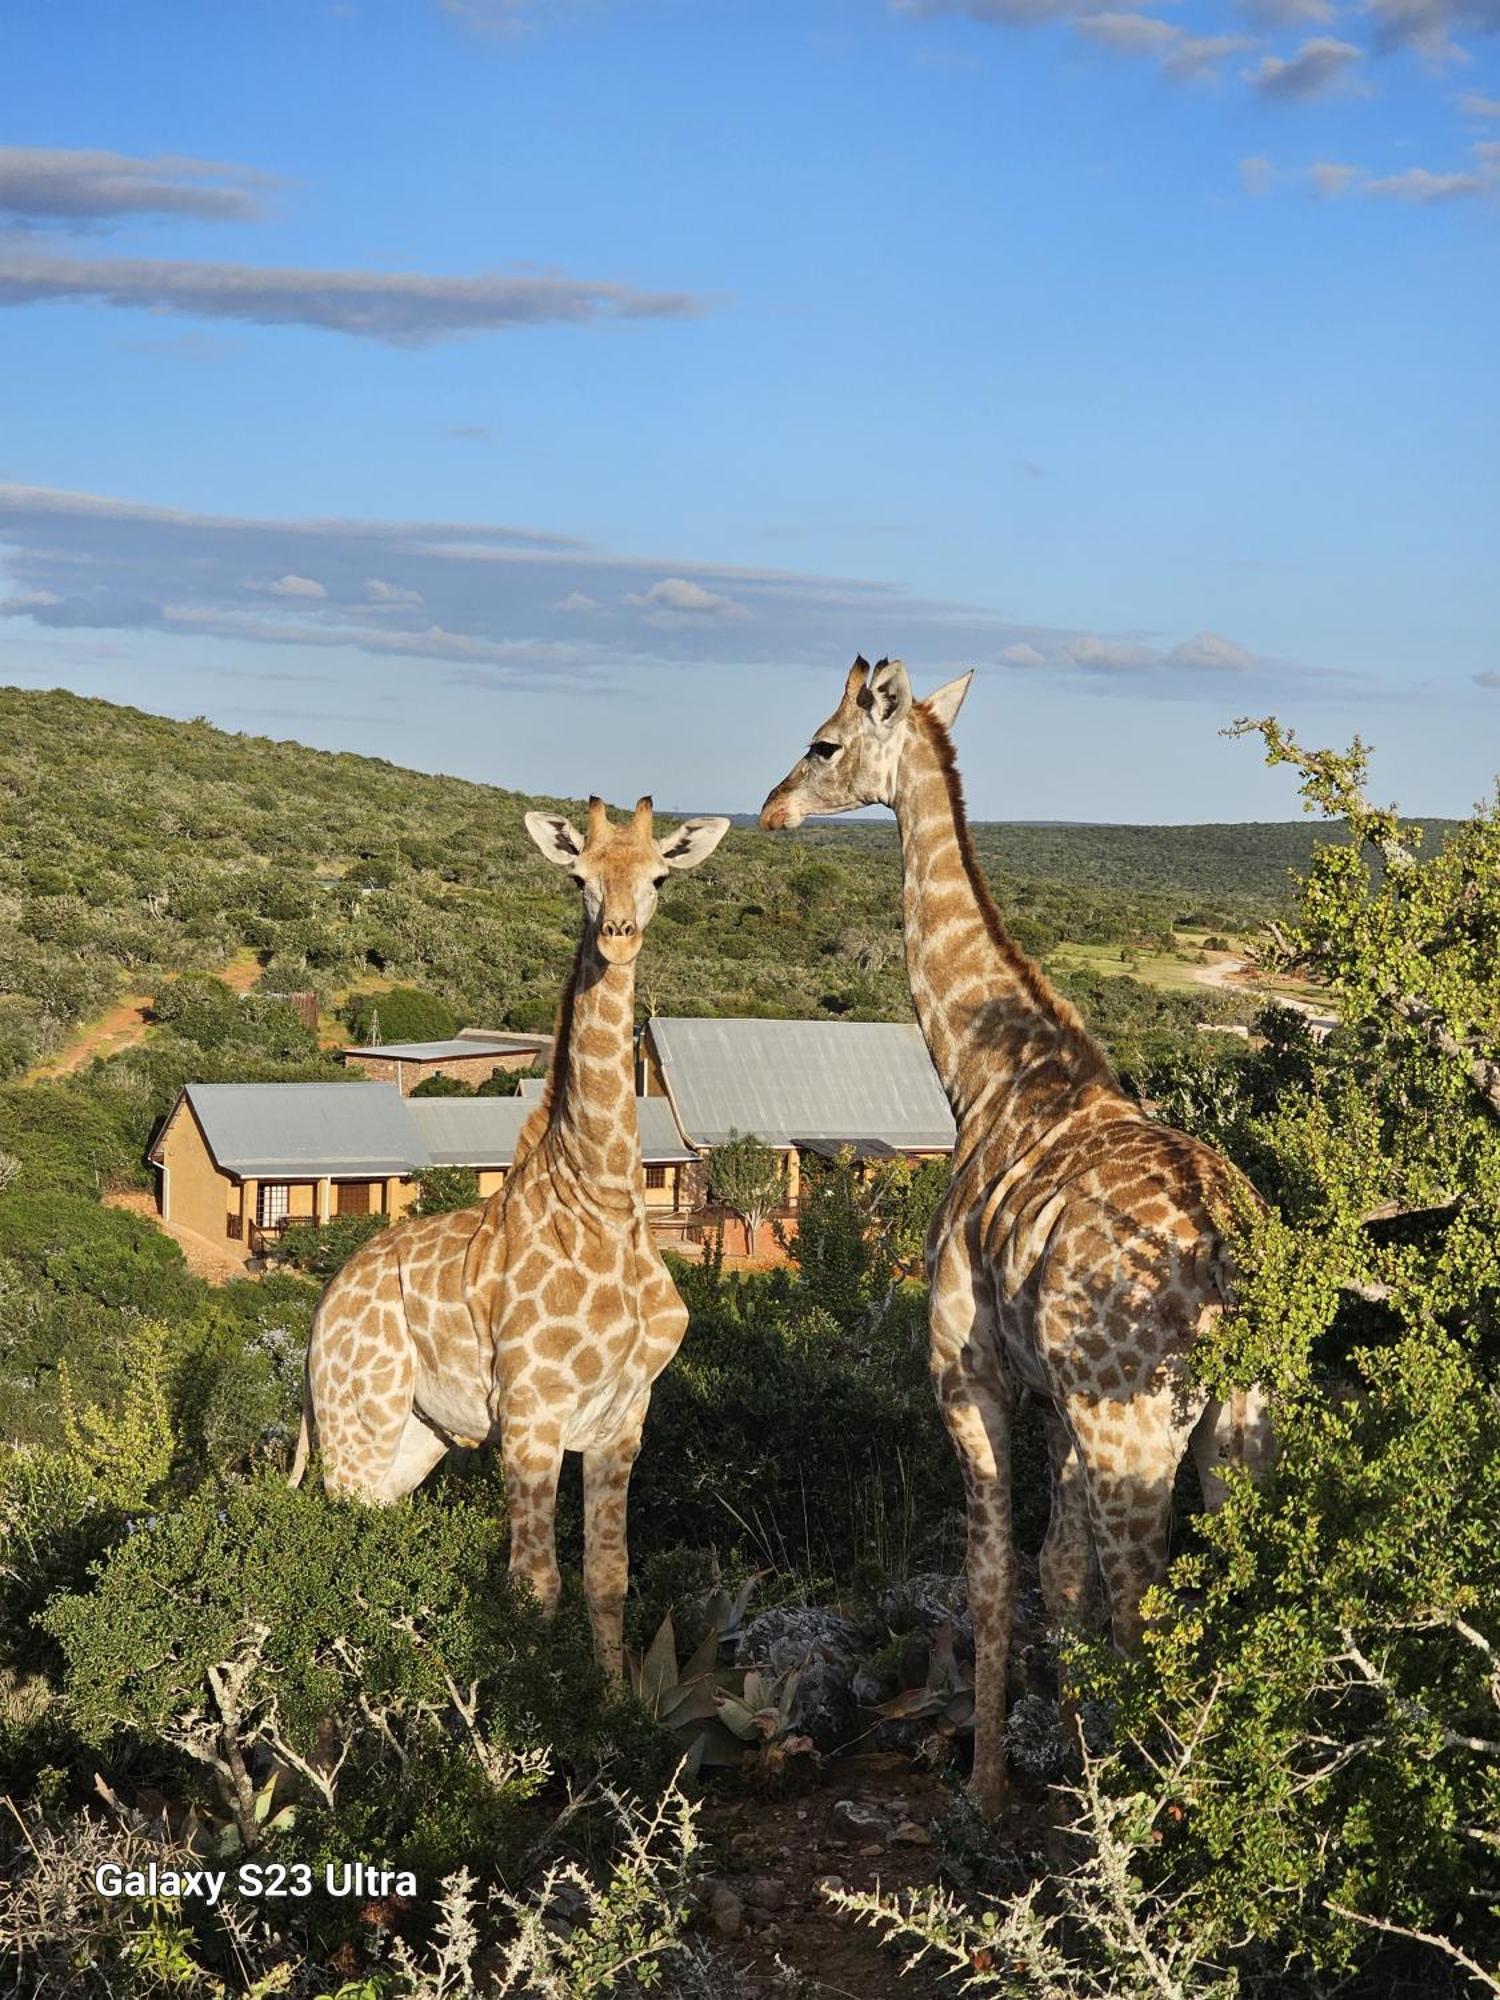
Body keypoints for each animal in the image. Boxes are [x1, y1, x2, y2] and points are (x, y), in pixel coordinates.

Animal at [292, 792, 728, 1672]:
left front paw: (613, 1701)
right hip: (356, 1416)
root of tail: (325, 1301)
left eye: (660, 876)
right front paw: (523, 1703)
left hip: (419, 1435)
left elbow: (608, 1577)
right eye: (578, 877)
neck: (599, 1199)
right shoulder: (530, 1414)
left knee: (373, 1532)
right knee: (332, 1541)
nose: (618, 936)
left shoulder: (623, 1419)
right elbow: (533, 1586)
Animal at [764, 660, 1272, 1816]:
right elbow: (1059, 1575)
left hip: (1138, 1422)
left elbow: (996, 1579)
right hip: (1241, 1422)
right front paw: (1068, 1751)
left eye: (822, 743)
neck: (986, 1077)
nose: (768, 811)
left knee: (1146, 1602)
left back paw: (1148, 1814)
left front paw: (991, 1788)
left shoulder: (970, 1376)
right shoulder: (1056, 1405)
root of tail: (1225, 1252)